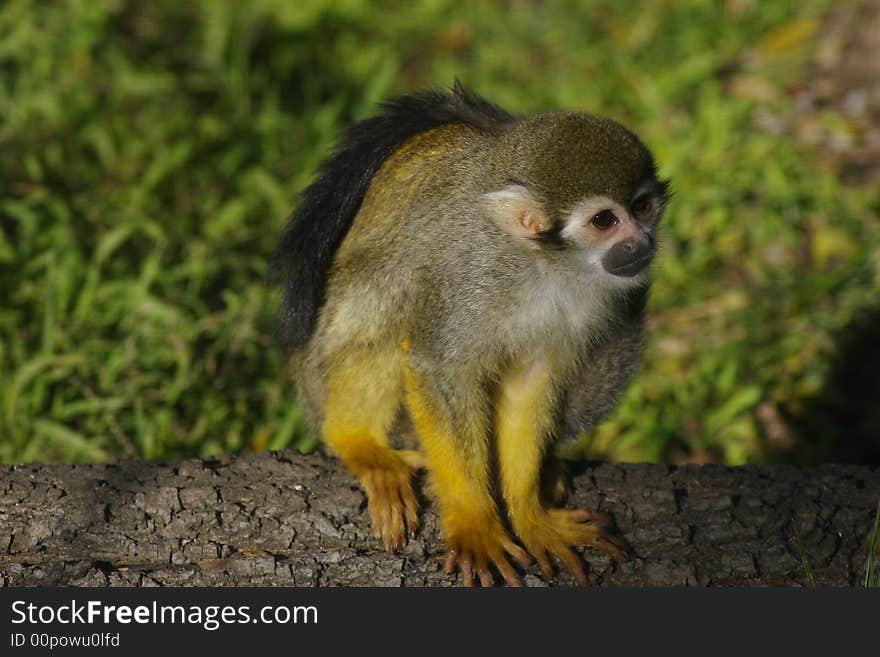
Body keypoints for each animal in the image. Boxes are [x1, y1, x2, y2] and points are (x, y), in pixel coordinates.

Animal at [272, 80, 672, 584]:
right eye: (604, 220)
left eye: (643, 207)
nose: (641, 244)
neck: (544, 266)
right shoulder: (471, 275)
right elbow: (439, 367)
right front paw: (474, 521)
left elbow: (531, 380)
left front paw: (529, 513)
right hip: (319, 375)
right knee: (398, 284)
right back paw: (357, 439)